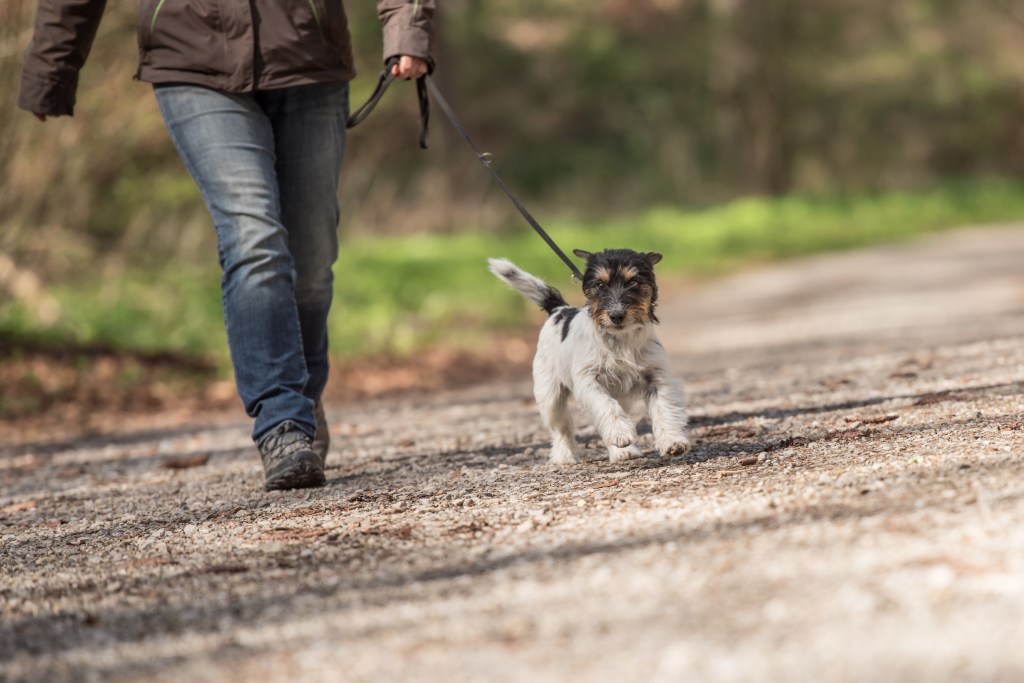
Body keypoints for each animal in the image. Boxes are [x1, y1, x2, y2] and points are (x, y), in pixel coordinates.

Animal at [489, 248, 692, 466]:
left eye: (633, 282)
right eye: (600, 284)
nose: (616, 315)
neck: (620, 339)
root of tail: (559, 309)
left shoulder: (658, 378)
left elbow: (664, 408)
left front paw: (672, 441)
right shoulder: (588, 382)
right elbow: (606, 406)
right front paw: (620, 434)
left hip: (622, 398)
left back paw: (622, 452)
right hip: (550, 396)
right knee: (562, 427)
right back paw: (564, 455)